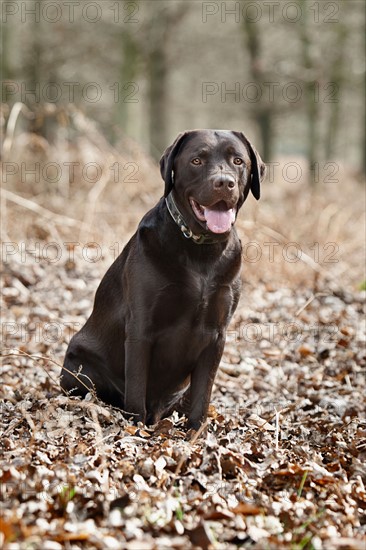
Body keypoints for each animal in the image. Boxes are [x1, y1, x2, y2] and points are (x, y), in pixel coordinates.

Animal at [61, 130, 264, 432]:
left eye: (238, 160)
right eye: (197, 160)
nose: (224, 183)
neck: (201, 250)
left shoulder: (217, 334)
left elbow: (202, 394)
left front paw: (195, 433)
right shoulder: (141, 326)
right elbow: (136, 388)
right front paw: (135, 430)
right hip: (78, 364)